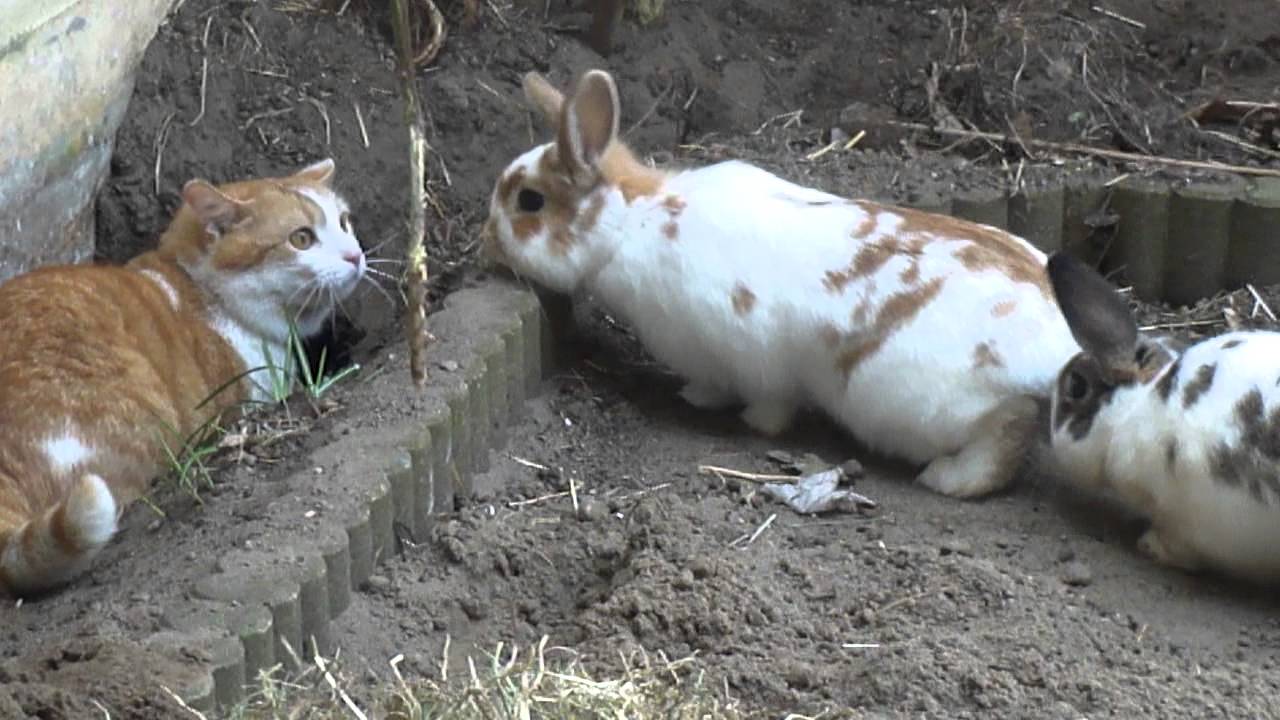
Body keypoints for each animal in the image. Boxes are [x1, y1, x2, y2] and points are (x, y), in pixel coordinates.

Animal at [483, 70, 1085, 499]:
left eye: (530, 202)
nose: (486, 240)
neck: (634, 220)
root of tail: (1058, 349)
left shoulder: (748, 357)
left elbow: (765, 404)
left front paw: (711, 405)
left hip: (929, 406)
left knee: (1006, 434)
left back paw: (946, 478)